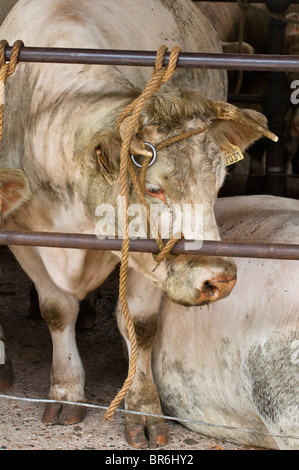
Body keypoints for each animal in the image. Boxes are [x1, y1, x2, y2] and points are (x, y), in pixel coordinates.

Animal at [0, 0, 276, 448]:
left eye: (218, 184)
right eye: (153, 189)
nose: (219, 279)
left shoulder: (147, 258)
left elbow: (140, 326)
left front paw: (144, 409)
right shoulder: (24, 234)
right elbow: (57, 310)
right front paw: (65, 391)